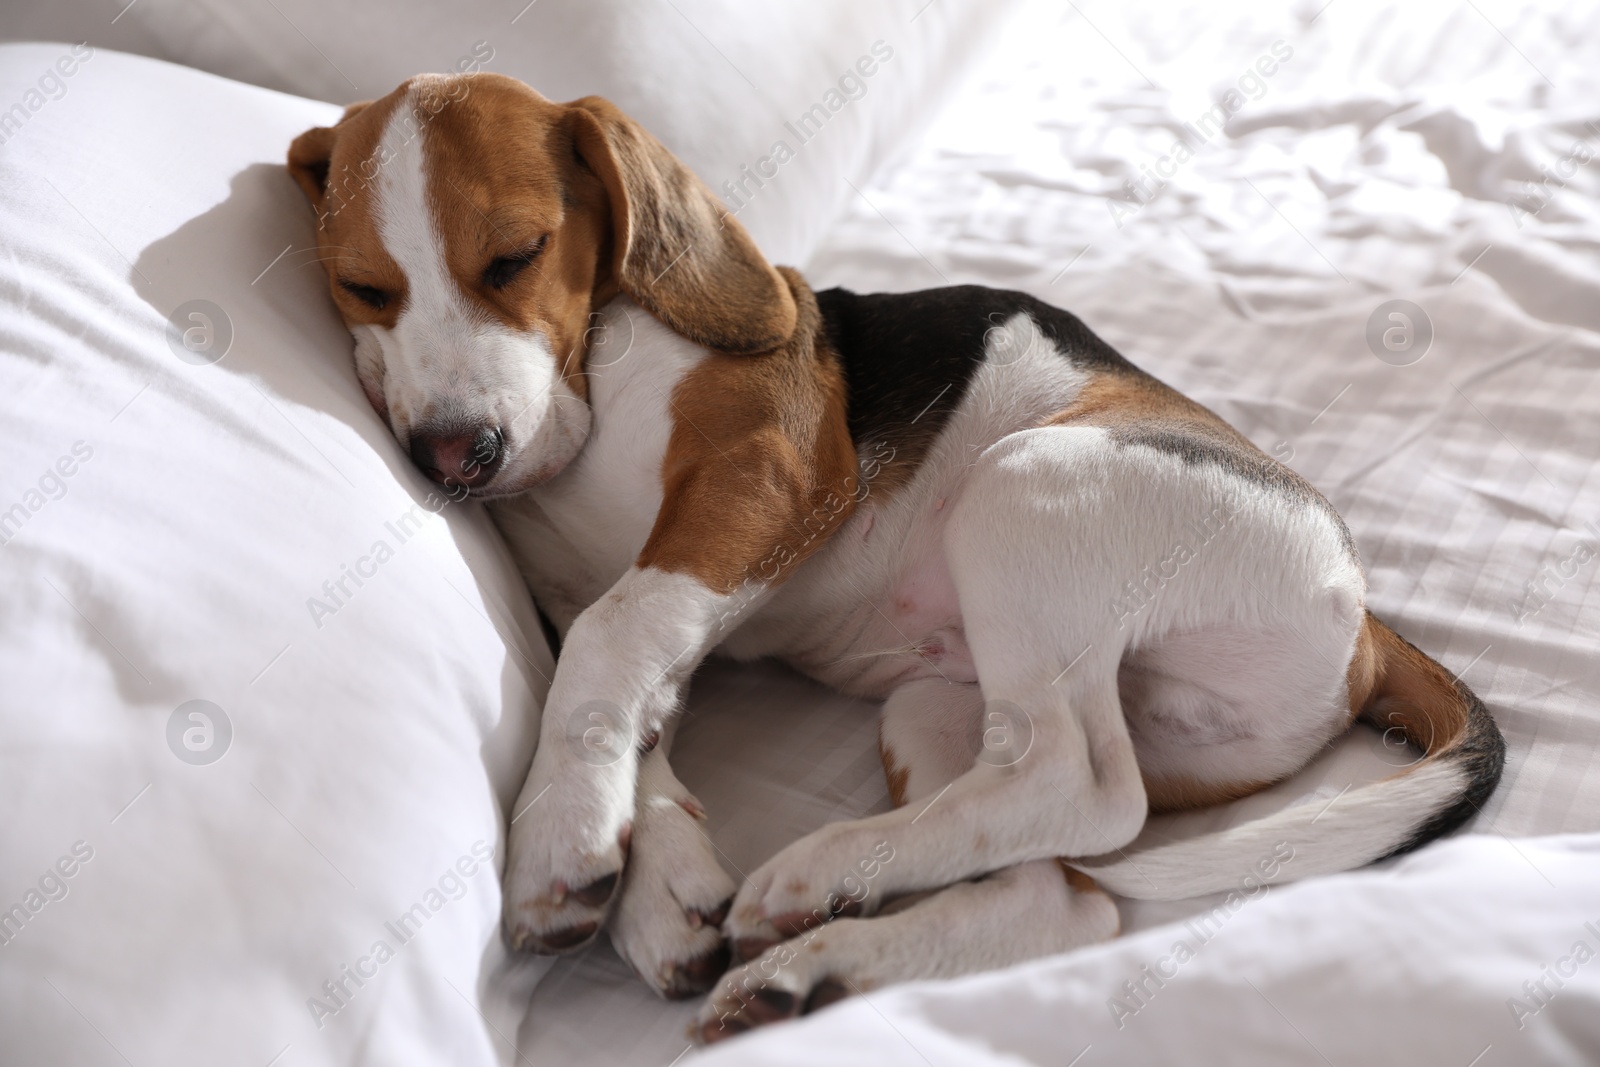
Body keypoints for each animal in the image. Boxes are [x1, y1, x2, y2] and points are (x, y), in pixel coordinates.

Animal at [288, 70, 1497, 1036]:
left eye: (517, 255)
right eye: (362, 289)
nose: (455, 458)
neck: (591, 382)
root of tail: (1364, 617)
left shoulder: (766, 477)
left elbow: (607, 635)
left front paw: (559, 837)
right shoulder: (636, 595)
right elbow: (625, 689)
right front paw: (654, 877)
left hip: (1025, 488)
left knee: (1084, 789)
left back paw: (816, 874)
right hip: (943, 710)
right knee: (1056, 883)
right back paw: (814, 963)